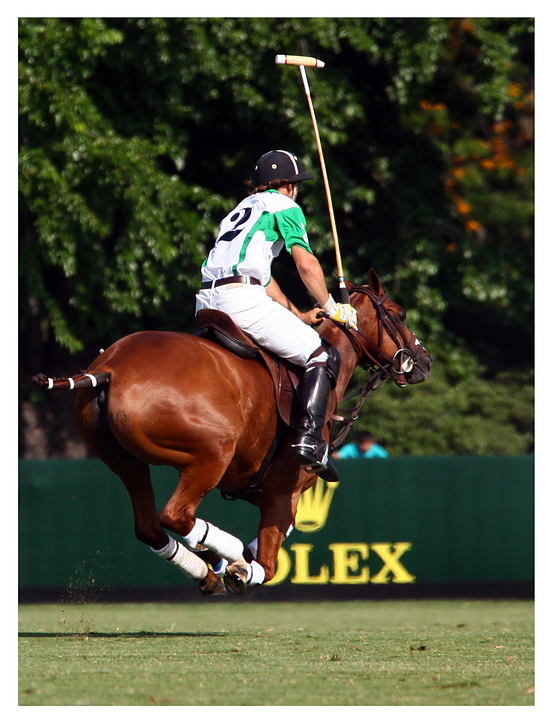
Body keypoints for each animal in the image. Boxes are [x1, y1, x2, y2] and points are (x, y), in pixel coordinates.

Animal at [32, 269, 432, 595]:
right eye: (399, 314)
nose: (424, 361)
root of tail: (111, 367)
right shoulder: (286, 489)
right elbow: (267, 565)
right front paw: (240, 567)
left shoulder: (267, 490)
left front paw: (229, 566)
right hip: (213, 452)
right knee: (174, 515)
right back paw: (226, 555)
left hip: (126, 462)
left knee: (149, 526)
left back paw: (208, 571)